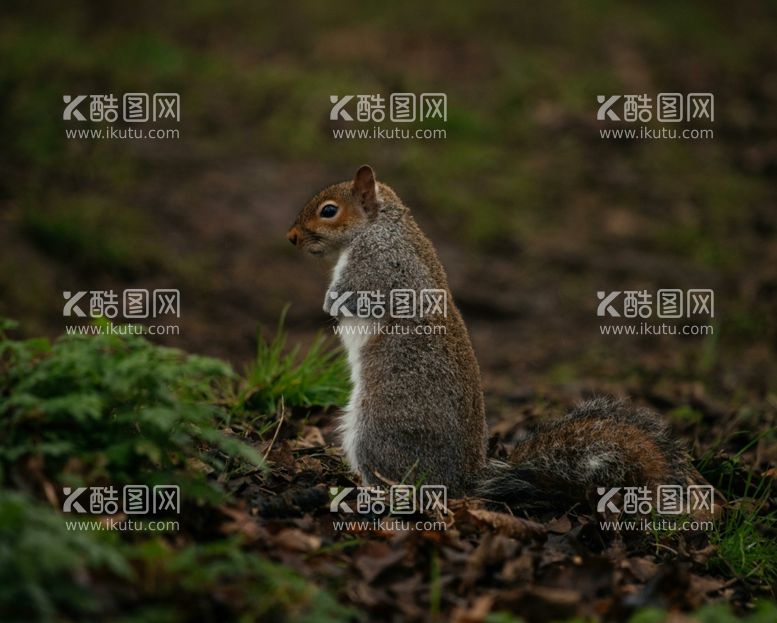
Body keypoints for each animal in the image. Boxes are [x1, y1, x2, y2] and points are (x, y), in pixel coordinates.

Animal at [288, 165, 708, 508]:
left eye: (329, 210)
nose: (291, 237)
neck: (380, 227)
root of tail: (461, 481)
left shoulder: (379, 268)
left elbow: (352, 298)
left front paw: (328, 302)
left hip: (377, 427)